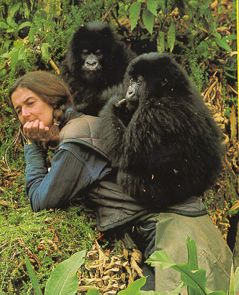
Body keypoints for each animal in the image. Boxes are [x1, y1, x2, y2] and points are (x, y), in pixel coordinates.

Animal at [98, 52, 224, 208]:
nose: (129, 91)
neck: (168, 90)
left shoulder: (155, 112)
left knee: (128, 175)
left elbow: (125, 152)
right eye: (131, 79)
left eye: (139, 82)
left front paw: (114, 105)